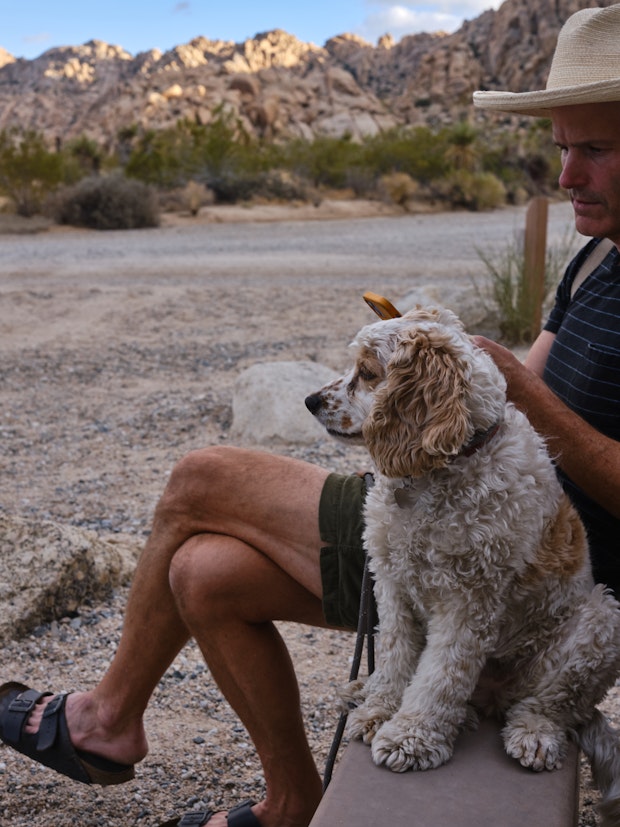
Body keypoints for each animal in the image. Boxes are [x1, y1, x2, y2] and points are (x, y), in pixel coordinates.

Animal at [308, 308, 620, 824]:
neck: (435, 474)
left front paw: (410, 736)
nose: (310, 400)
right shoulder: (391, 585)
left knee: (551, 705)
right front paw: (379, 709)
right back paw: (365, 691)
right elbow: (393, 656)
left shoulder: (469, 601)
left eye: (368, 373)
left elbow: (440, 675)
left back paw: (533, 734)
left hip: (599, 623)